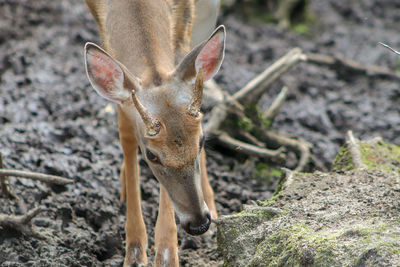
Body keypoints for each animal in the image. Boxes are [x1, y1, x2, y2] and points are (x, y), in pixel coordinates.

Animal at [83, 1, 225, 266]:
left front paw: (167, 254)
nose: (199, 224)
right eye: (151, 155)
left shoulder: (183, 25)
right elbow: (127, 135)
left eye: (202, 142)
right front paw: (134, 251)